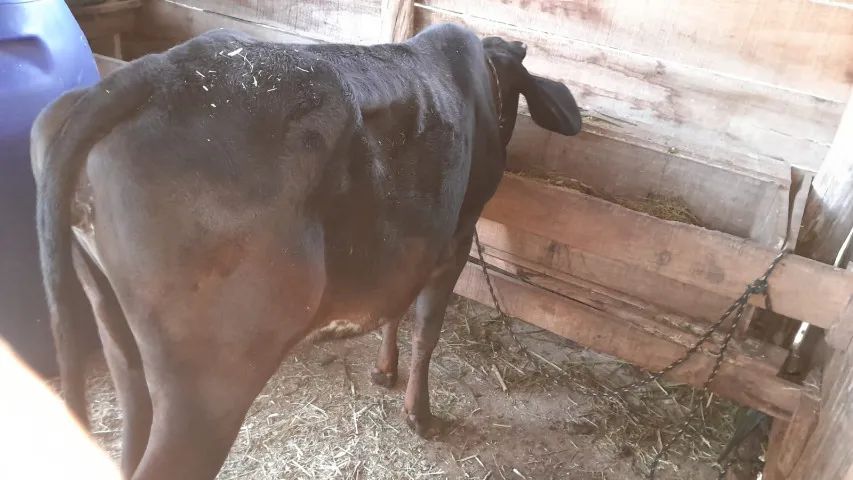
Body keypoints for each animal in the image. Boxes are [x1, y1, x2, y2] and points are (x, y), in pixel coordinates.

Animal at [31, 23, 581, 479]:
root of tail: (156, 70)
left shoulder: (409, 245)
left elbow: (395, 308)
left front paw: (384, 371)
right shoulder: (456, 240)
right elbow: (426, 331)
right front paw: (419, 415)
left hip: (118, 338)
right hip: (207, 389)